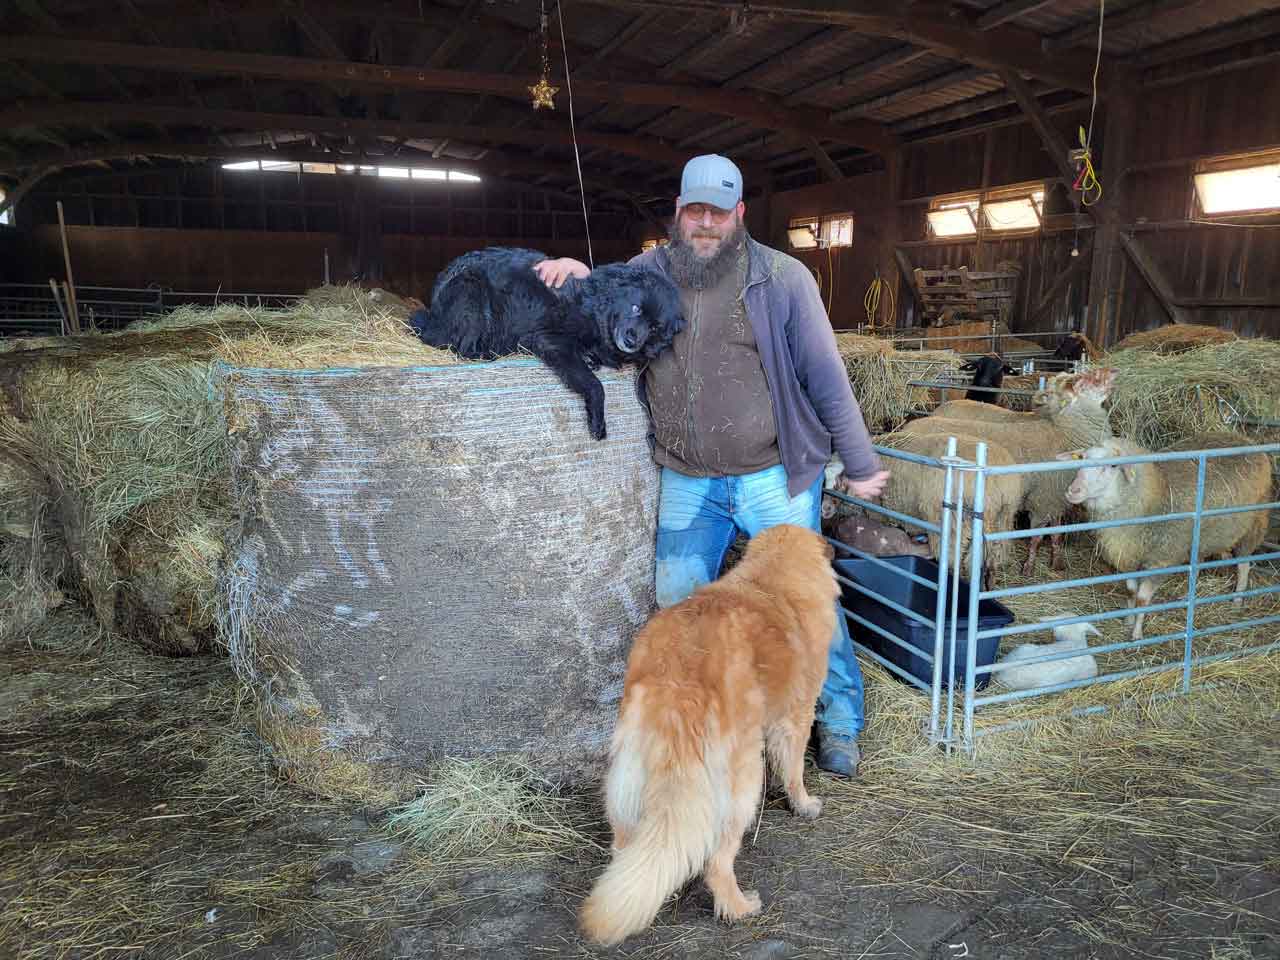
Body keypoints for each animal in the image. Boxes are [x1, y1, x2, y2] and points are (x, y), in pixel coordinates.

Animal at [414, 248, 686, 442]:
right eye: (635, 307)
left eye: (655, 328)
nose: (632, 339)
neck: (594, 309)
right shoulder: (549, 339)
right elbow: (595, 385)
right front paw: (598, 421)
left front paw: (591, 358)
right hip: (471, 288)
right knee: (459, 348)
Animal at [581, 522, 839, 942]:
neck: (772, 577)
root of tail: (677, 679)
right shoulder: (796, 716)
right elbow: (795, 770)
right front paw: (803, 804)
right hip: (740, 785)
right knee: (716, 863)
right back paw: (739, 907)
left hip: (628, 775)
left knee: (627, 848)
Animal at [901, 368, 1121, 578]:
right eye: (1078, 381)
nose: (1114, 371)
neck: (1063, 434)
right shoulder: (1043, 498)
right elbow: (1037, 536)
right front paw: (1028, 567)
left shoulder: (1055, 498)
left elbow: (1056, 532)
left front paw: (1057, 562)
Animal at [1059, 432, 1269, 642]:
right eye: (1082, 458)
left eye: (1113, 466)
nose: (1072, 491)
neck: (1154, 495)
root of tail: (1243, 438)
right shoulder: (1129, 555)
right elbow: (1131, 591)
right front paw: (1128, 620)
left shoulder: (1161, 560)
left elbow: (1142, 599)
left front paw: (1136, 634)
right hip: (1206, 536)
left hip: (1253, 526)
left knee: (1243, 565)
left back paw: (1237, 600)